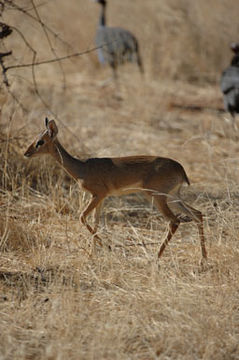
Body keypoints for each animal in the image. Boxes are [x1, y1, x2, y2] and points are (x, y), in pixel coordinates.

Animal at [24, 119, 207, 260]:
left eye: (40, 142)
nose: (26, 153)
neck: (82, 168)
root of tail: (181, 169)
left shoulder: (98, 195)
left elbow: (82, 217)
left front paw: (107, 248)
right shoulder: (100, 198)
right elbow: (96, 222)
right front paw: (92, 254)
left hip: (157, 197)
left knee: (174, 221)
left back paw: (155, 257)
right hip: (172, 197)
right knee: (197, 214)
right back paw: (202, 260)